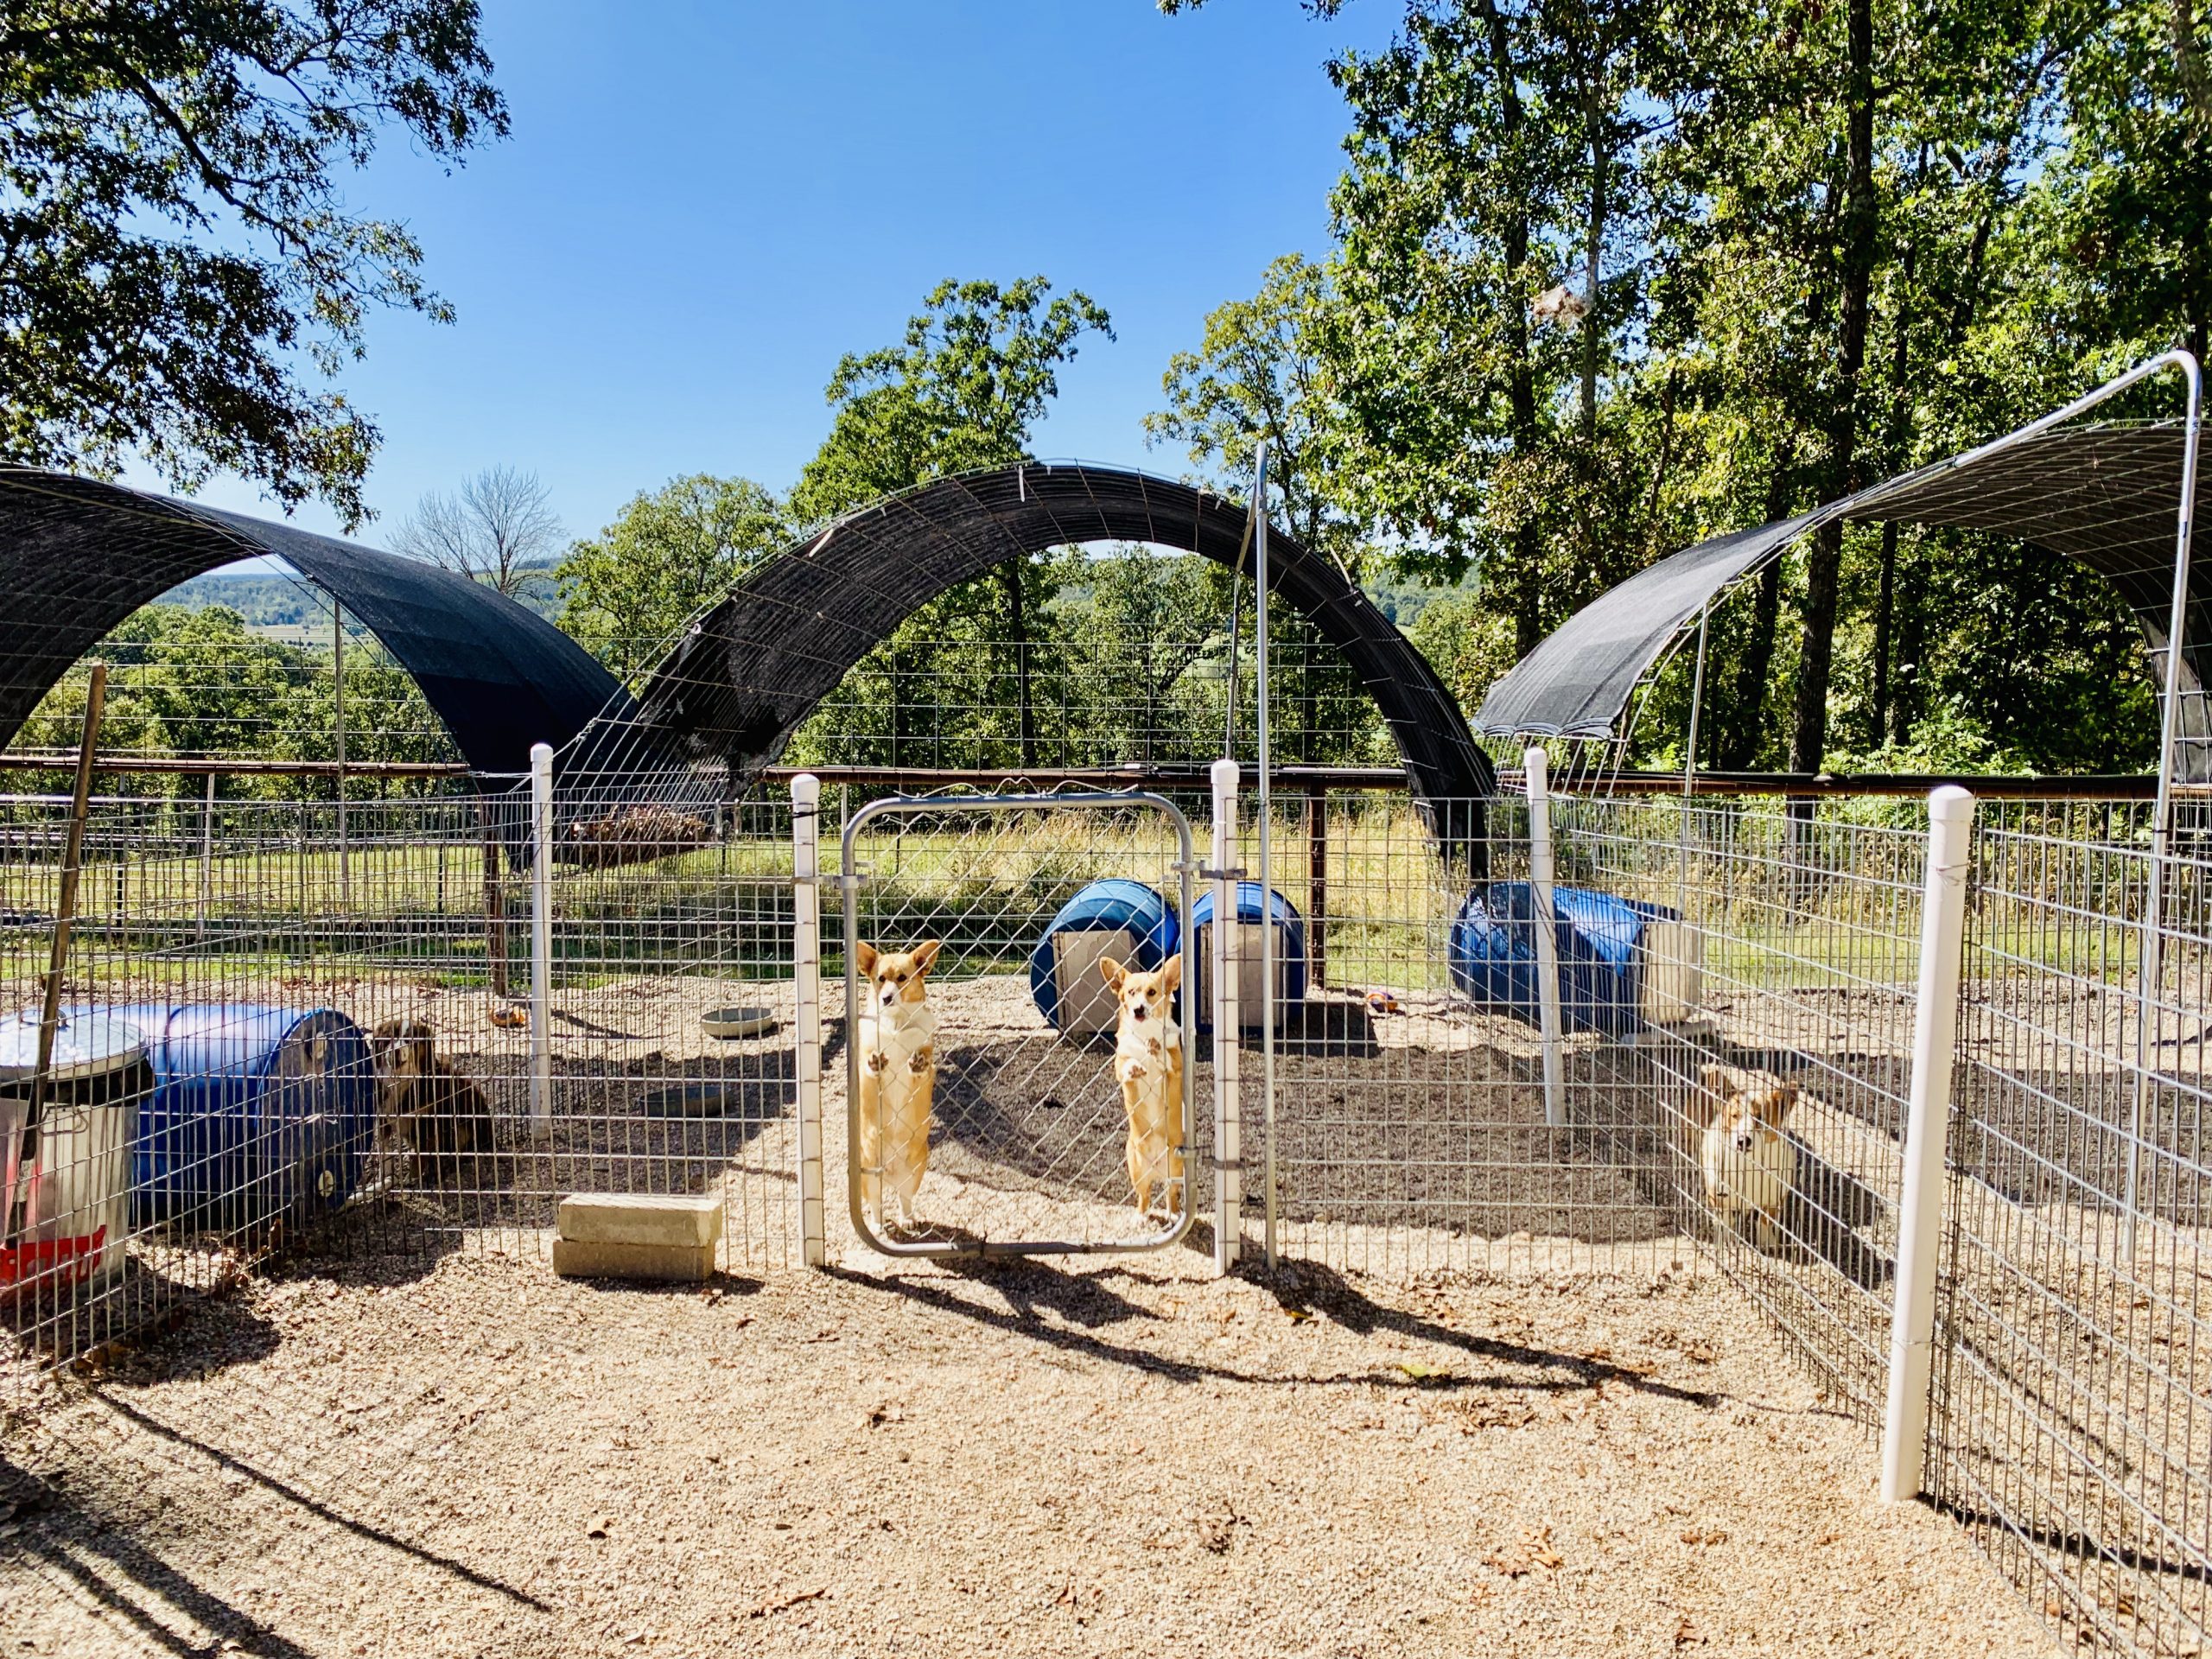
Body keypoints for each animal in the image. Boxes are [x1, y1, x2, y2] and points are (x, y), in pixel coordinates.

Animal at [369, 1021, 495, 1185]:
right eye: (390, 1037)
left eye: (411, 1040)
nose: (395, 1051)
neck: (400, 1083)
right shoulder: (382, 1120)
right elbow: (385, 1155)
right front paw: (385, 1180)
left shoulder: (426, 1123)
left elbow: (418, 1156)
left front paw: (413, 1179)